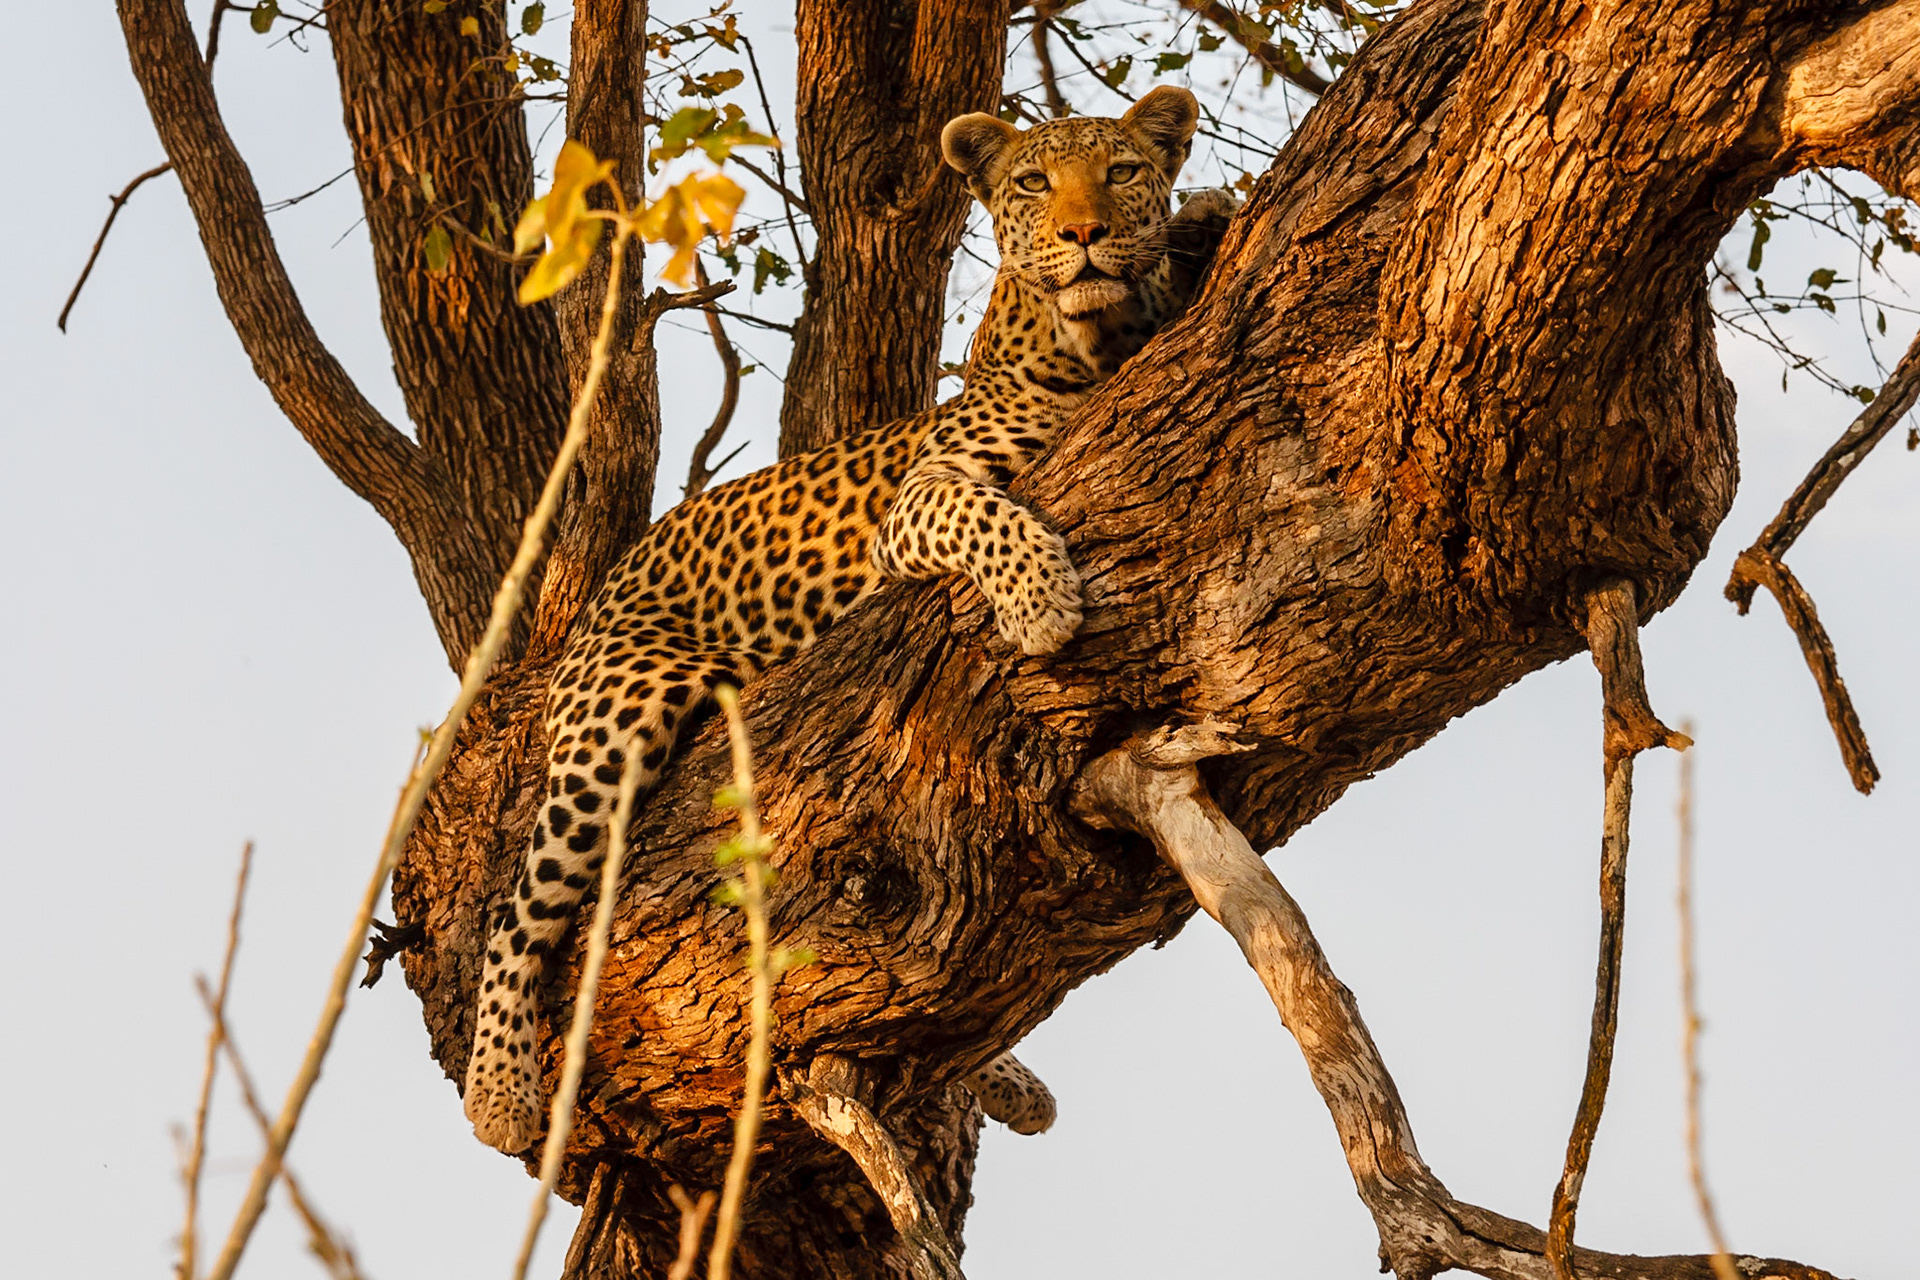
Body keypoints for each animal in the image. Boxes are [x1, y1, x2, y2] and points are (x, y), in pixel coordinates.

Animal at [463, 84, 1238, 1155]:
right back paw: (495, 1090)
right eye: (1034, 183)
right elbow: (983, 512)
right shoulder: (914, 505)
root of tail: (606, 584)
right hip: (616, 716)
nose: (1085, 233)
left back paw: (1008, 1079)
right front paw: (1043, 601)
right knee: (518, 905)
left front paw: (1203, 217)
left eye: (1122, 172)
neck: (1095, 347)